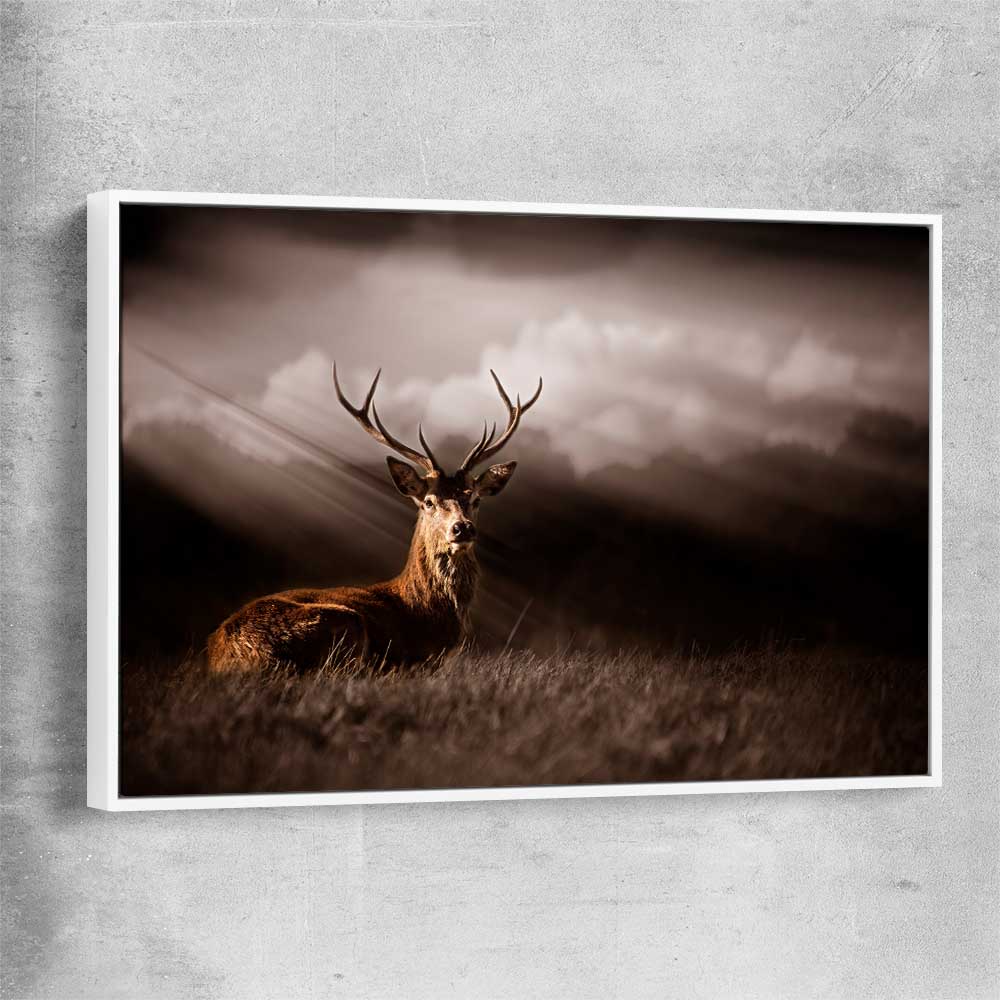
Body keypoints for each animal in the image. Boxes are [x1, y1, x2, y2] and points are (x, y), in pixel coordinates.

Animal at [206, 365, 542, 672]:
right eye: (429, 502)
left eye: (475, 499)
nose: (462, 528)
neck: (426, 612)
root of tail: (226, 654)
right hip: (343, 622)